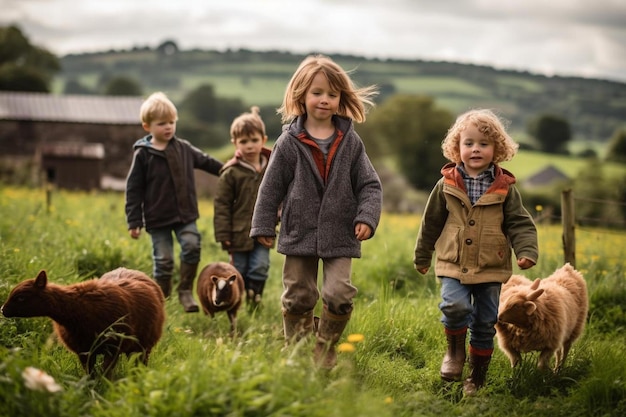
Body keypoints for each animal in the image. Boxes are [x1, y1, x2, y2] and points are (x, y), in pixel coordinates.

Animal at [0, 266, 166, 376]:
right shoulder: (84, 350)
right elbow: (89, 376)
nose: (2, 310)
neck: (77, 309)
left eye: (21, 297)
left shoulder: (112, 347)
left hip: (144, 345)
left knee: (140, 366)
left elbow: (105, 374)